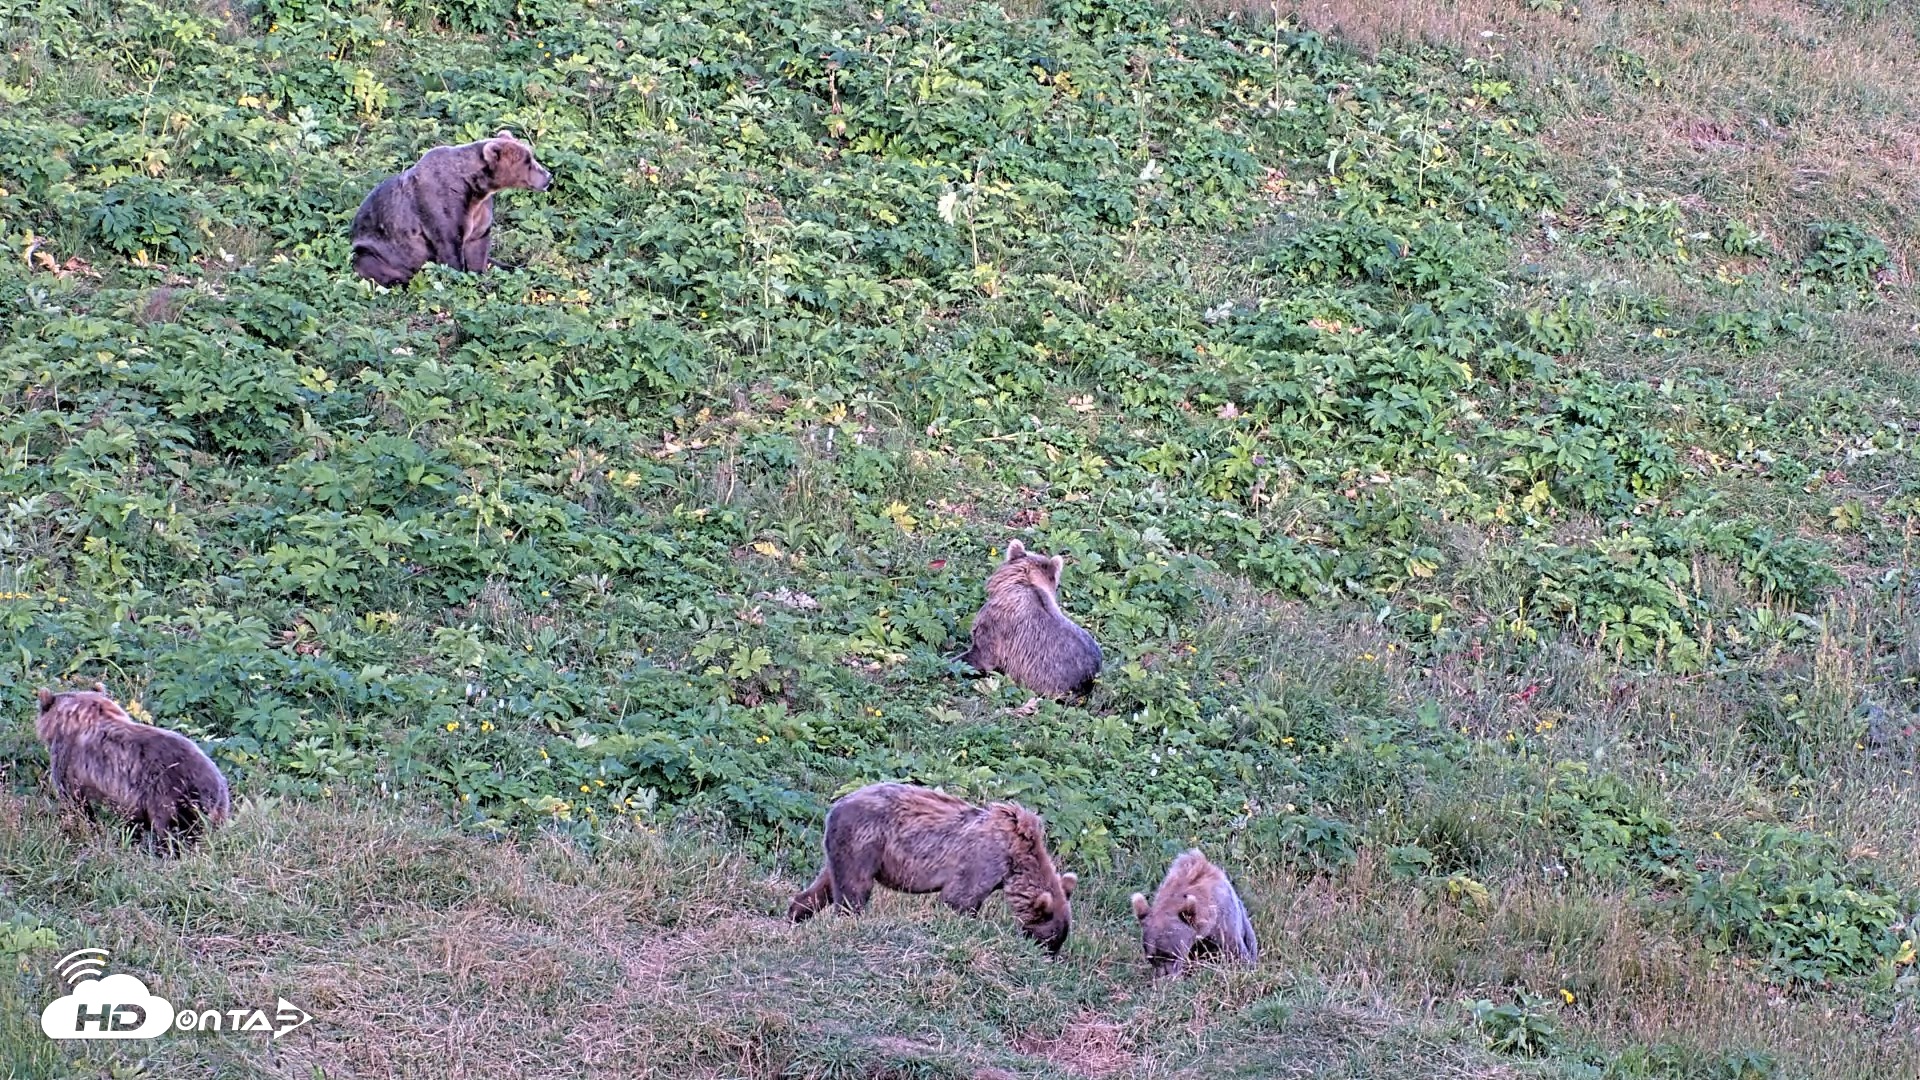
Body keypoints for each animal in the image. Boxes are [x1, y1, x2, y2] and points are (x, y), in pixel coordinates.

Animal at [349, 130, 552, 286]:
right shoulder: (442, 205)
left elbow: (478, 245)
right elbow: (450, 245)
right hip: (375, 249)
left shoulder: (480, 210)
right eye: (527, 161)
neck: (474, 188)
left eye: (530, 156)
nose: (548, 177)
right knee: (369, 263)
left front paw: (480, 275)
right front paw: (459, 277)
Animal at [787, 782, 1078, 955]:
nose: (1049, 957)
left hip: (841, 850)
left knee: (824, 887)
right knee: (854, 890)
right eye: (1049, 939)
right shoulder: (983, 859)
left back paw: (795, 915)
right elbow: (959, 898)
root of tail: (836, 805)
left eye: (1059, 939)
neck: (1017, 855)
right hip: (865, 844)